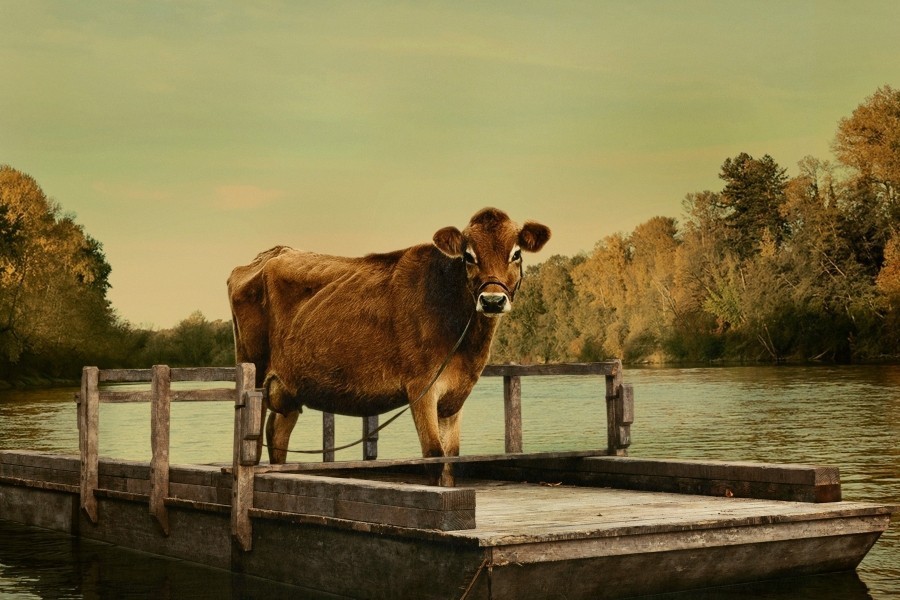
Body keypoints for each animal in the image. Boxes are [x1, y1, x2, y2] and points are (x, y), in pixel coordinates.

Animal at [227, 207, 550, 486]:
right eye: (468, 256)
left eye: (516, 253)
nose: (492, 301)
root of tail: (270, 254)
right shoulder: (422, 388)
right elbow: (433, 456)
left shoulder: (455, 396)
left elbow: (451, 460)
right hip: (255, 371)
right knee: (253, 440)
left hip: (290, 387)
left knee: (277, 433)